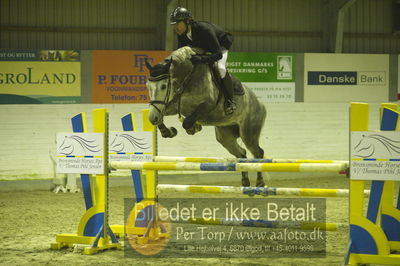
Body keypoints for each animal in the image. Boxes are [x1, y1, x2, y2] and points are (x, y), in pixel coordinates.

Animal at [145, 46, 268, 187]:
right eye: (147, 86)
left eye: (163, 86)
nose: (152, 117)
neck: (187, 77)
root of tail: (261, 104)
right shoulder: (172, 105)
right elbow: (161, 116)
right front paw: (168, 131)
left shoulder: (208, 105)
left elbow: (187, 121)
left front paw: (193, 128)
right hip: (225, 136)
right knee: (241, 153)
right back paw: (245, 181)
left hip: (248, 133)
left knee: (258, 152)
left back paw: (260, 183)